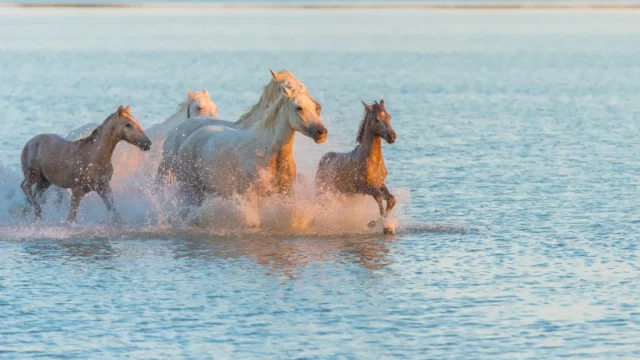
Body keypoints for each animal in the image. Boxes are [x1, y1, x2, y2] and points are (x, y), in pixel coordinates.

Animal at [21, 104, 151, 222]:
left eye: (137, 122)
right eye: (128, 124)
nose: (147, 144)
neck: (95, 158)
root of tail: (28, 143)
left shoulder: (104, 187)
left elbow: (114, 213)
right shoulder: (77, 191)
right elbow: (71, 219)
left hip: (45, 181)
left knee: (35, 195)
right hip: (33, 174)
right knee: (25, 186)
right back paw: (38, 211)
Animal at [172, 83, 328, 226]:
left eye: (315, 108)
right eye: (298, 107)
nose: (321, 132)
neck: (269, 153)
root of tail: (187, 139)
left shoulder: (287, 192)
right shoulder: (250, 195)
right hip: (193, 189)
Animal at [314, 100, 398, 233]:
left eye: (389, 117)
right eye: (376, 118)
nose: (392, 136)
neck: (373, 161)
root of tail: (323, 159)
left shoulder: (380, 183)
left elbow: (391, 200)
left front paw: (379, 224)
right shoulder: (363, 187)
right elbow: (379, 198)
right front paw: (380, 226)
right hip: (322, 191)